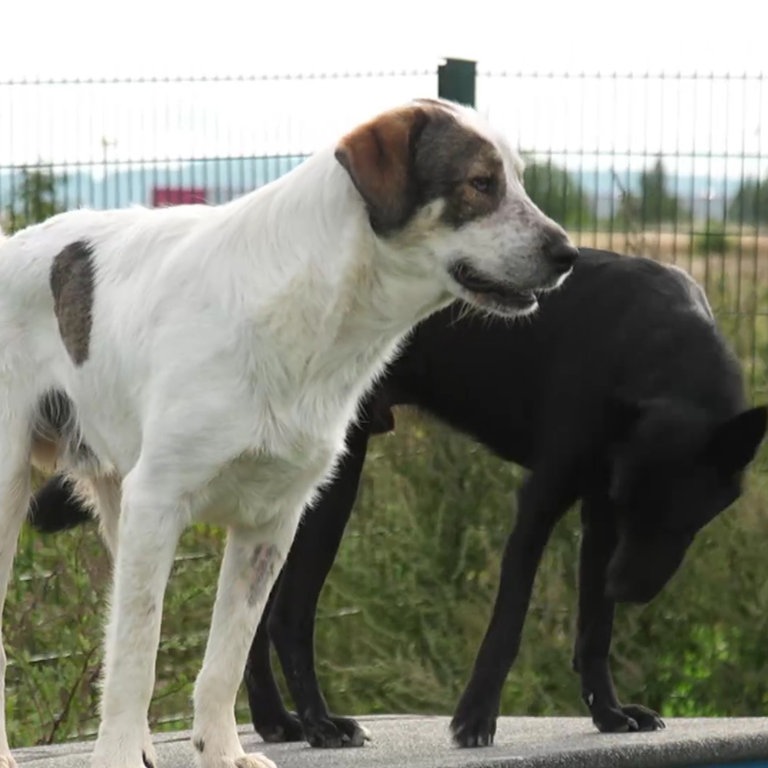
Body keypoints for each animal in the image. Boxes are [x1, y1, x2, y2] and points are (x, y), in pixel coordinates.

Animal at [0, 97, 576, 768]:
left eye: (519, 181)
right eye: (480, 184)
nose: (569, 254)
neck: (306, 310)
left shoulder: (269, 524)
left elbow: (224, 657)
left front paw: (221, 752)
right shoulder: (161, 501)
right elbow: (139, 654)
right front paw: (116, 758)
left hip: (121, 504)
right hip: (20, 497)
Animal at [31, 249, 768, 748]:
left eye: (677, 512)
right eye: (648, 506)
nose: (628, 587)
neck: (660, 346)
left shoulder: (597, 513)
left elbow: (594, 628)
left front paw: (609, 713)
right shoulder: (546, 501)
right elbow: (508, 621)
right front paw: (475, 718)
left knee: (258, 620)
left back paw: (276, 721)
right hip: (330, 491)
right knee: (287, 616)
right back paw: (316, 723)